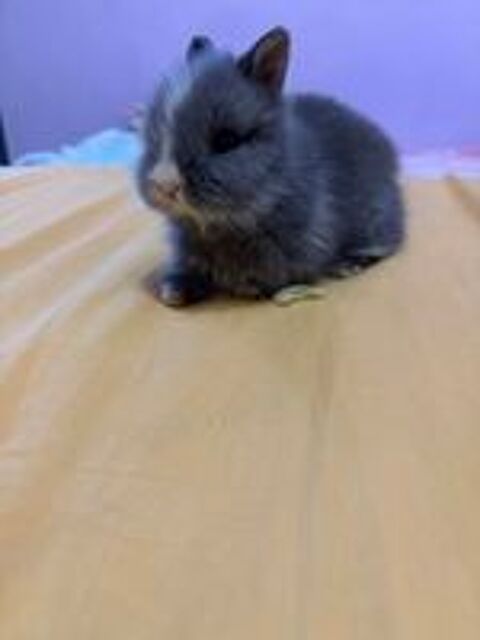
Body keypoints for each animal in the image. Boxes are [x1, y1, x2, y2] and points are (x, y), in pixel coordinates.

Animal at [137, 27, 405, 306]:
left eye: (226, 140)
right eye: (153, 132)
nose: (162, 184)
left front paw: (247, 287)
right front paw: (175, 291)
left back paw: (348, 265)